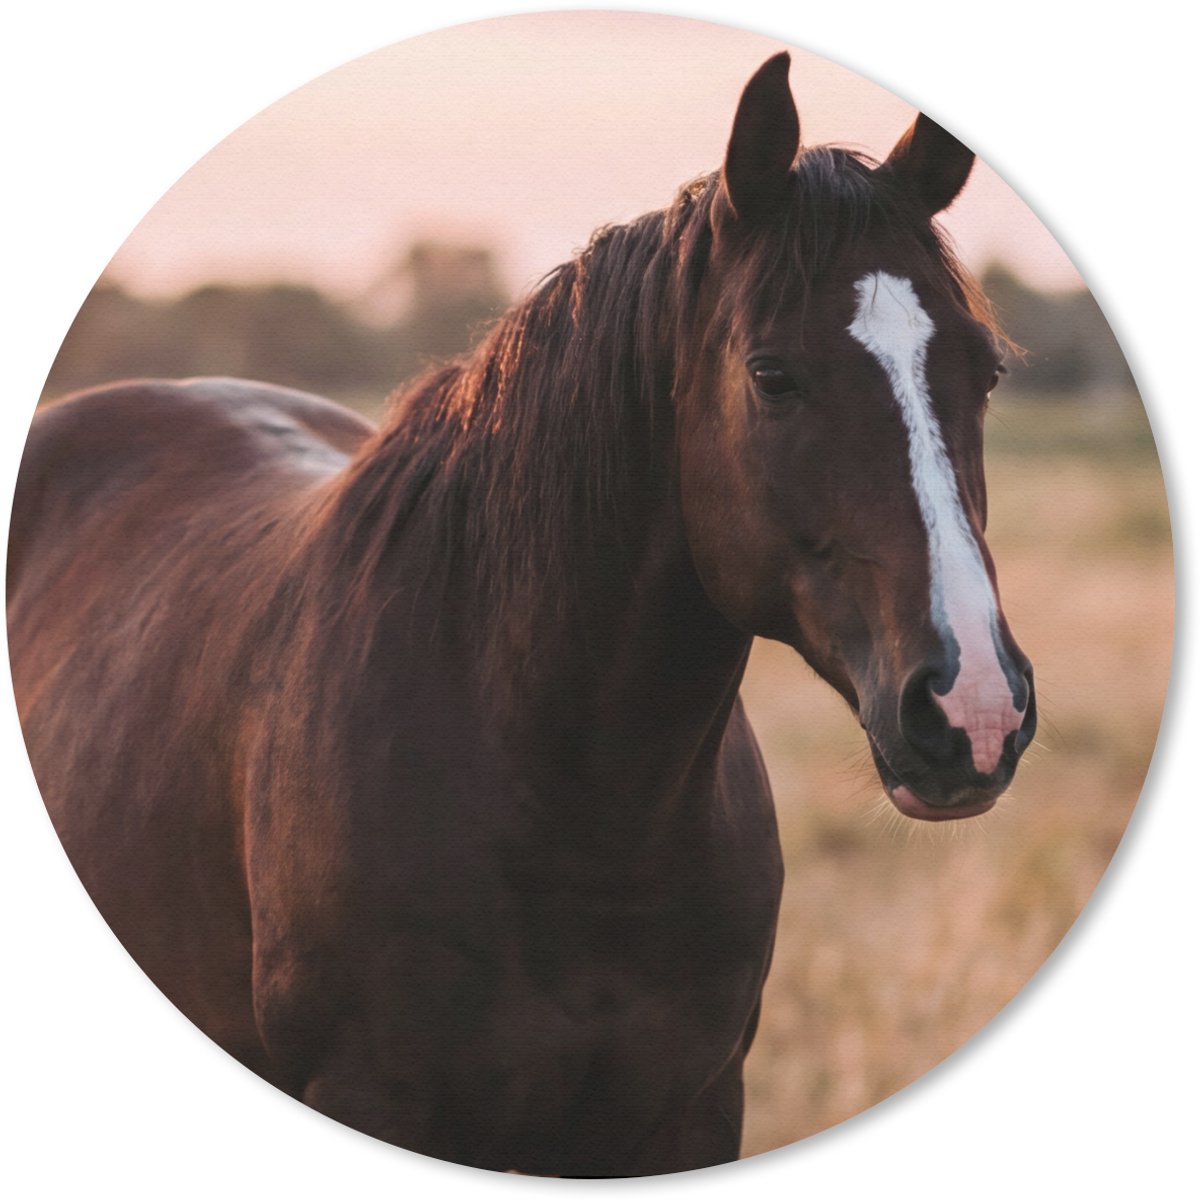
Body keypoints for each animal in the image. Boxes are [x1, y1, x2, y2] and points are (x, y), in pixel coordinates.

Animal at [8, 53, 1035, 1176]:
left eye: (984, 369)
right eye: (771, 375)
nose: (974, 709)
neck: (576, 814)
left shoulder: (687, 1116)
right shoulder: (374, 1099)